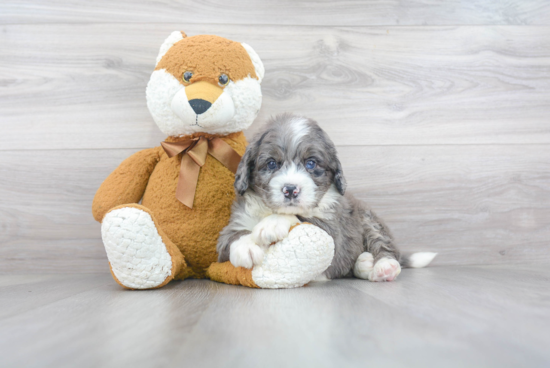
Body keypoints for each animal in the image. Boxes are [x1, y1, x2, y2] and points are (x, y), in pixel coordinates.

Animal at [218, 113, 438, 280]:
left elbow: (302, 218)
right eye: (272, 163)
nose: (290, 190)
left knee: (384, 245)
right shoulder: (231, 229)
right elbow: (231, 237)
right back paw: (364, 263)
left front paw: (272, 224)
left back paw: (384, 267)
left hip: (369, 220)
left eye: (311, 163)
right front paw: (246, 246)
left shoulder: (333, 231)